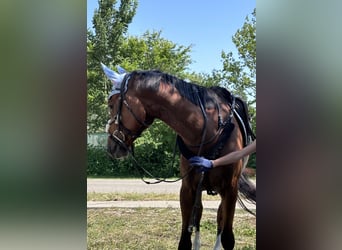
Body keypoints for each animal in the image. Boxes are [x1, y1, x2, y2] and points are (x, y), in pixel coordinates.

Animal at [101, 63, 256, 249]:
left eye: (111, 105)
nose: (111, 146)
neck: (209, 129)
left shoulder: (230, 190)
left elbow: (227, 238)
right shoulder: (187, 189)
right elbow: (185, 238)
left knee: (219, 218)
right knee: (198, 217)